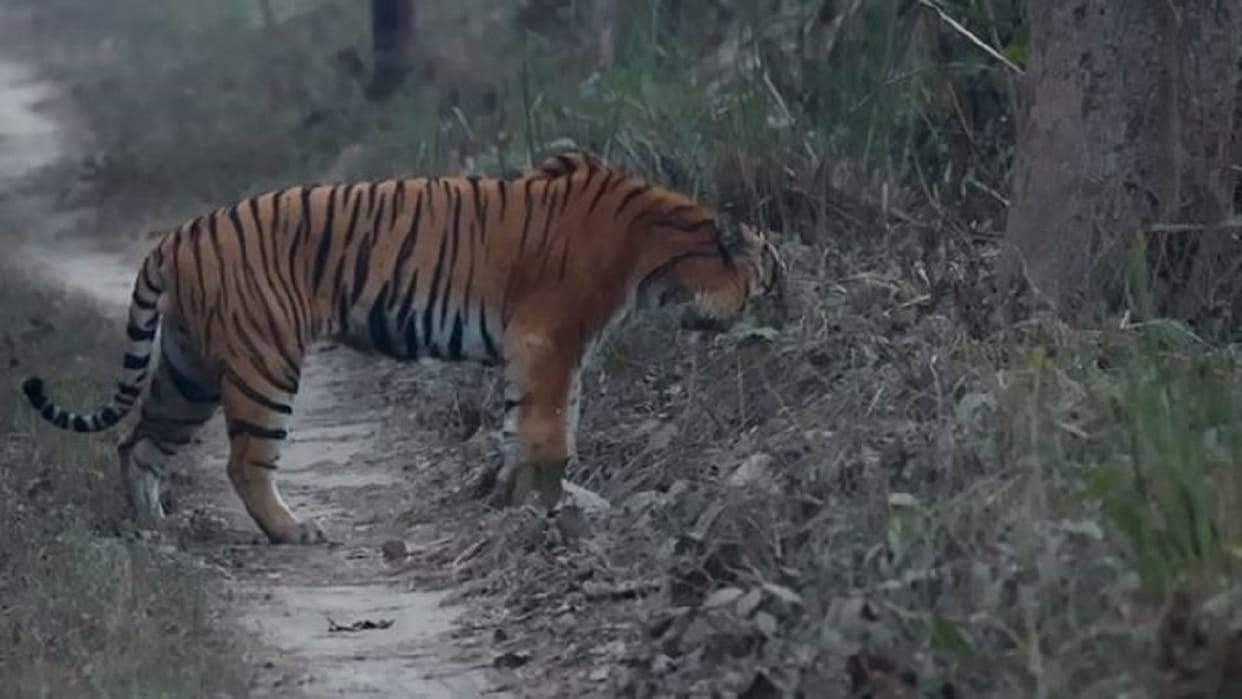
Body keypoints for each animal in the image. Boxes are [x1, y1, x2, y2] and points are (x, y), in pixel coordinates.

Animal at [20, 152, 784, 545]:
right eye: (769, 274)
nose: (784, 302)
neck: (660, 255)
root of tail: (177, 236)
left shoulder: (533, 351)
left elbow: (521, 426)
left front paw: (511, 498)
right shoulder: (550, 339)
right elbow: (551, 430)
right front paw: (547, 506)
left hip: (188, 369)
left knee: (138, 442)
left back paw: (152, 528)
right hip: (264, 361)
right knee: (245, 461)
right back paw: (293, 530)